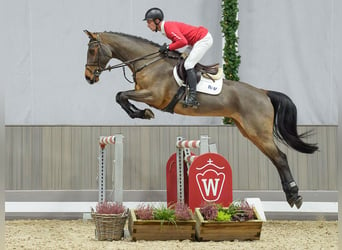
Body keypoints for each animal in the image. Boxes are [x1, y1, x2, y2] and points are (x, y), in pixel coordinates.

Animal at [84, 29, 320, 209]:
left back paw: (294, 196)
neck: (149, 63)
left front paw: (142, 113)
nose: (88, 78)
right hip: (248, 131)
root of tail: (263, 93)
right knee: (276, 157)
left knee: (280, 157)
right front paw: (139, 113)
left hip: (258, 132)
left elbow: (121, 95)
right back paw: (291, 195)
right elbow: (120, 96)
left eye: (92, 50)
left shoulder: (154, 96)